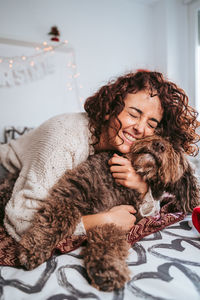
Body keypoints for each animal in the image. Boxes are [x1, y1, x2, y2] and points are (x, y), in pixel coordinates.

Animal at [18, 135, 198, 290]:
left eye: (175, 147)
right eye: (157, 131)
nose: (159, 144)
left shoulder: (116, 221)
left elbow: (109, 241)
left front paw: (107, 269)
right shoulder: (70, 195)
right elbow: (56, 221)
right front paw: (34, 249)